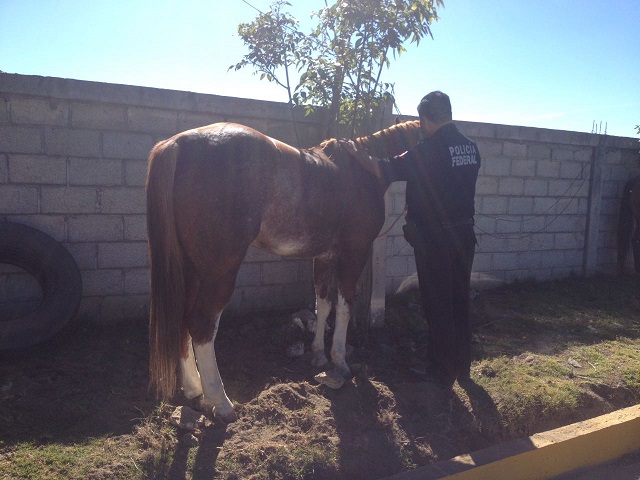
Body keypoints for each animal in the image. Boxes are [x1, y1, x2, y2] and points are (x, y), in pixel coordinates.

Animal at [147, 122, 422, 422]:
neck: (364, 169)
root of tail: (177, 144)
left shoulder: (323, 257)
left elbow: (323, 304)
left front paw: (318, 354)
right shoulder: (354, 254)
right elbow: (344, 306)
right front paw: (340, 361)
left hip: (192, 270)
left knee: (183, 320)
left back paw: (195, 391)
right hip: (219, 272)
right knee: (201, 324)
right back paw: (221, 402)